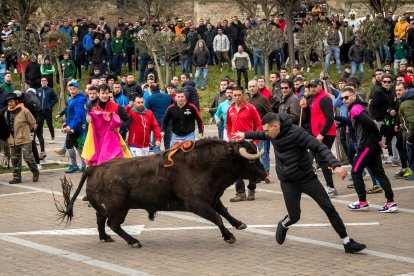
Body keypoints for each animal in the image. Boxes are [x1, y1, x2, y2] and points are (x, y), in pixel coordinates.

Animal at [55, 139, 266, 247]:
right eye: (250, 161)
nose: (264, 174)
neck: (205, 164)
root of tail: (94, 168)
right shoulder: (197, 204)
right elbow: (217, 218)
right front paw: (229, 236)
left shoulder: (212, 198)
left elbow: (224, 212)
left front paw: (239, 224)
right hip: (119, 209)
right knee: (112, 223)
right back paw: (134, 241)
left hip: (108, 208)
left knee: (100, 219)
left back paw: (105, 238)